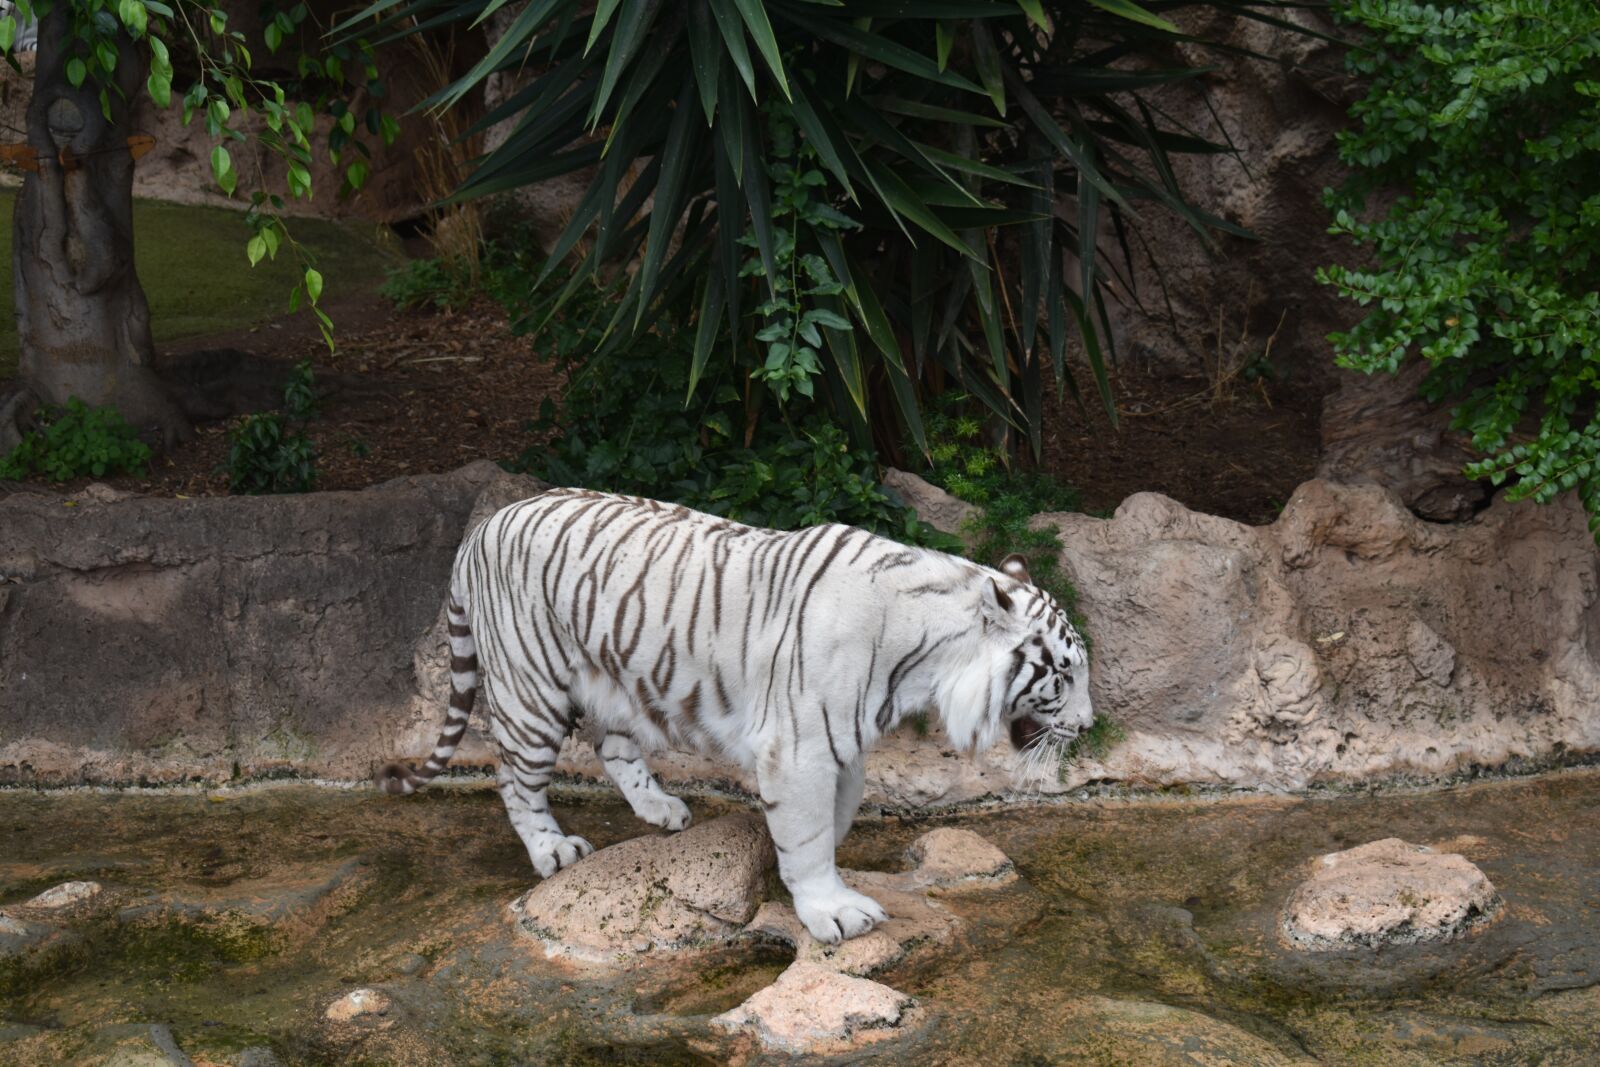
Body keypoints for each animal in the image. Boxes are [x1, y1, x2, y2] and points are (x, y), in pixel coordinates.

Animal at [378, 488, 1092, 944]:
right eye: (1063, 674)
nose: (1087, 727)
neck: (924, 661)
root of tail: (482, 527)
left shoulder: (841, 745)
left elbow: (830, 820)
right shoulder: (800, 747)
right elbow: (807, 833)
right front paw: (833, 912)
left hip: (613, 677)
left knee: (613, 748)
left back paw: (663, 811)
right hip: (532, 690)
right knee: (516, 780)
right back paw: (553, 848)